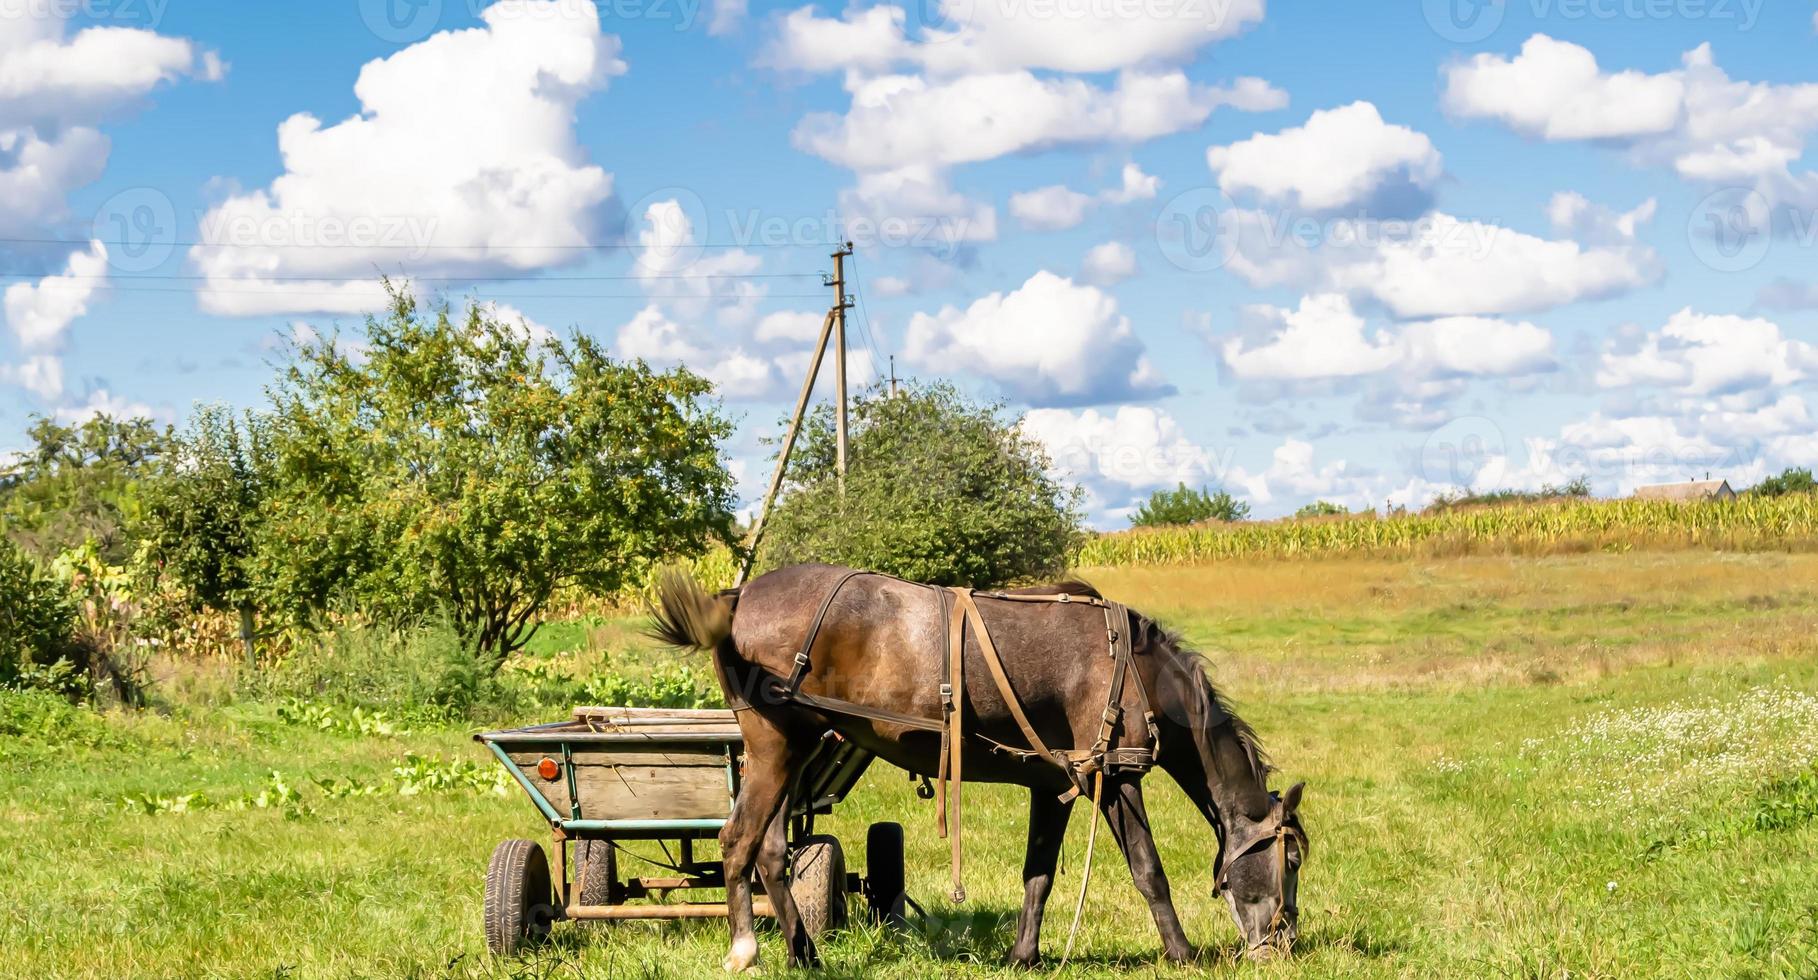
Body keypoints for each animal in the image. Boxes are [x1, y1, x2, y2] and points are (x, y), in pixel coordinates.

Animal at [654, 563, 1308, 967]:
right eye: (1293, 859)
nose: (1286, 943)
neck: (1137, 671)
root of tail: (739, 597)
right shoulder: (1116, 777)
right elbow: (1149, 870)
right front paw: (1182, 954)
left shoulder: (1053, 784)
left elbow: (1038, 875)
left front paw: (1024, 955)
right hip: (774, 747)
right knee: (738, 842)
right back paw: (746, 948)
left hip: (799, 749)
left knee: (770, 853)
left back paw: (805, 954)